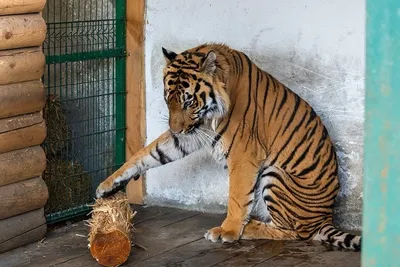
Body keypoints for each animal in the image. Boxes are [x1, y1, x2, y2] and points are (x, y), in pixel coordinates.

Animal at [97, 43, 362, 252]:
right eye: (168, 99)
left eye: (188, 101)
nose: (175, 129)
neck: (209, 114)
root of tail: (325, 217)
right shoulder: (192, 134)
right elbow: (149, 153)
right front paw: (110, 183)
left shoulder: (244, 153)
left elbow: (237, 195)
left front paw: (228, 231)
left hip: (275, 174)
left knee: (296, 232)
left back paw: (250, 227)